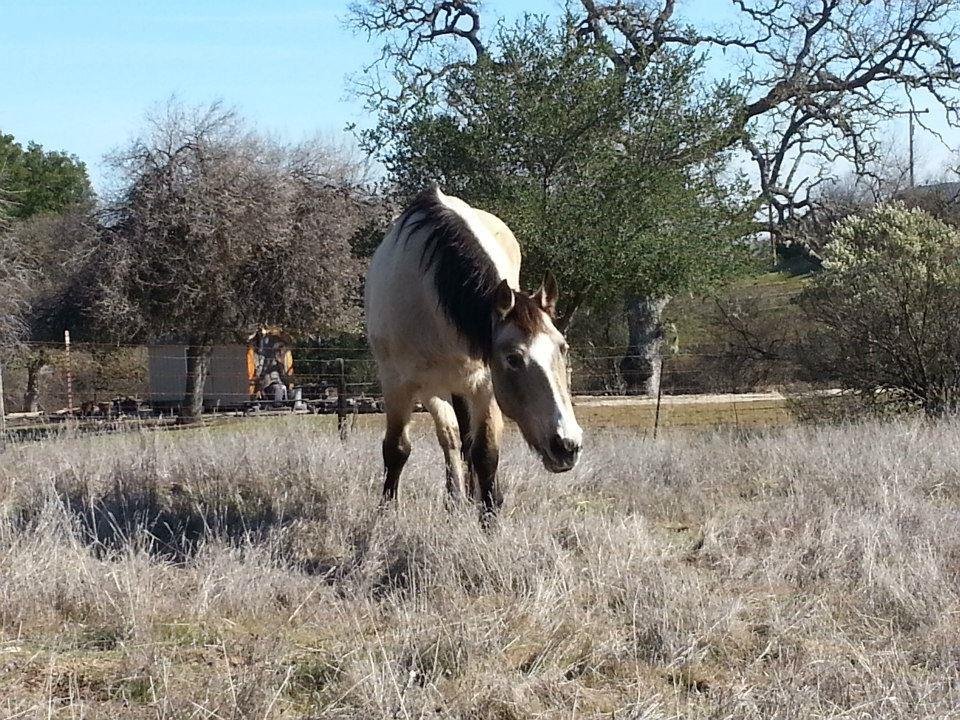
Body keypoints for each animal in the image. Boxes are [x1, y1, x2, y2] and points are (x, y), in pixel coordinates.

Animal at [364, 185, 583, 517]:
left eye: (563, 347)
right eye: (513, 358)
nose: (567, 446)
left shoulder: (484, 385)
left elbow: (485, 454)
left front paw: (490, 517)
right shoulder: (398, 384)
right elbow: (397, 448)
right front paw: (386, 513)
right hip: (434, 388)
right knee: (451, 437)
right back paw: (455, 497)